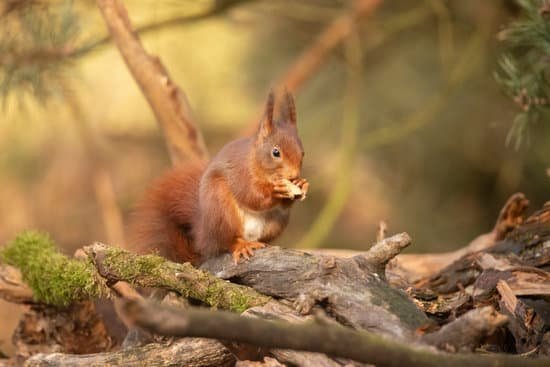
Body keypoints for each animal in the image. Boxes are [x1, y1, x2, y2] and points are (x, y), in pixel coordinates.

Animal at [127, 91, 312, 264]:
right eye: (276, 152)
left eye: (303, 152)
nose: (293, 175)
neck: (256, 162)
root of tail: (203, 237)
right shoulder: (240, 173)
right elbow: (251, 196)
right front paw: (276, 190)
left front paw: (301, 184)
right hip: (221, 210)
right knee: (226, 242)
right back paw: (241, 245)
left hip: (275, 223)